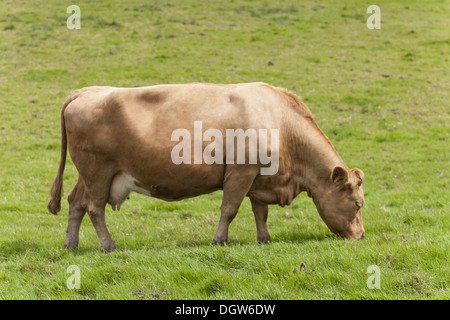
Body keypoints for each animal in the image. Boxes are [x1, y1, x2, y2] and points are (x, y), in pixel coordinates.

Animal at [48, 81, 366, 251]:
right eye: (358, 204)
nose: (361, 235)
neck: (281, 123)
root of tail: (87, 91)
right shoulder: (241, 171)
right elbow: (230, 209)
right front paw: (219, 239)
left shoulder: (260, 177)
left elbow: (260, 212)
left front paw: (264, 239)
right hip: (97, 170)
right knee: (94, 208)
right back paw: (108, 245)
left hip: (91, 174)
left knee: (76, 203)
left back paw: (70, 244)